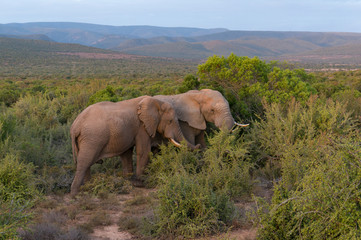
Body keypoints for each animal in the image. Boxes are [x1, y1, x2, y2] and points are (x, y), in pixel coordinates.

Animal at [69, 94, 198, 196]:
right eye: (170, 121)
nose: (199, 146)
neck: (156, 102)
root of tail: (75, 125)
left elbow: (127, 154)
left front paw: (129, 182)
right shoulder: (142, 127)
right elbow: (143, 152)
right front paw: (140, 183)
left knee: (86, 163)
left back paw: (88, 188)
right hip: (92, 138)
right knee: (84, 162)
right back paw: (75, 194)